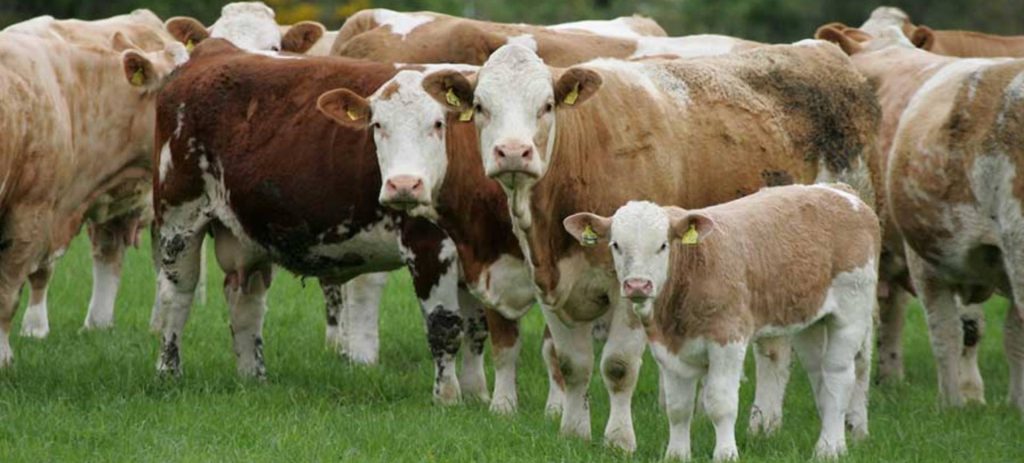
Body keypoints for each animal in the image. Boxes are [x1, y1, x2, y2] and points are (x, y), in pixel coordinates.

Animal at [562, 184, 878, 459]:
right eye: (616, 245)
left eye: (663, 245)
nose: (637, 285)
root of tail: (839, 191)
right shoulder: (667, 349)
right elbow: (678, 407)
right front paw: (677, 455)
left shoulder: (728, 340)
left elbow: (720, 403)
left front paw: (726, 453)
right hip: (810, 320)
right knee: (819, 376)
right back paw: (835, 442)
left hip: (851, 313)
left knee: (838, 377)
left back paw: (828, 449)